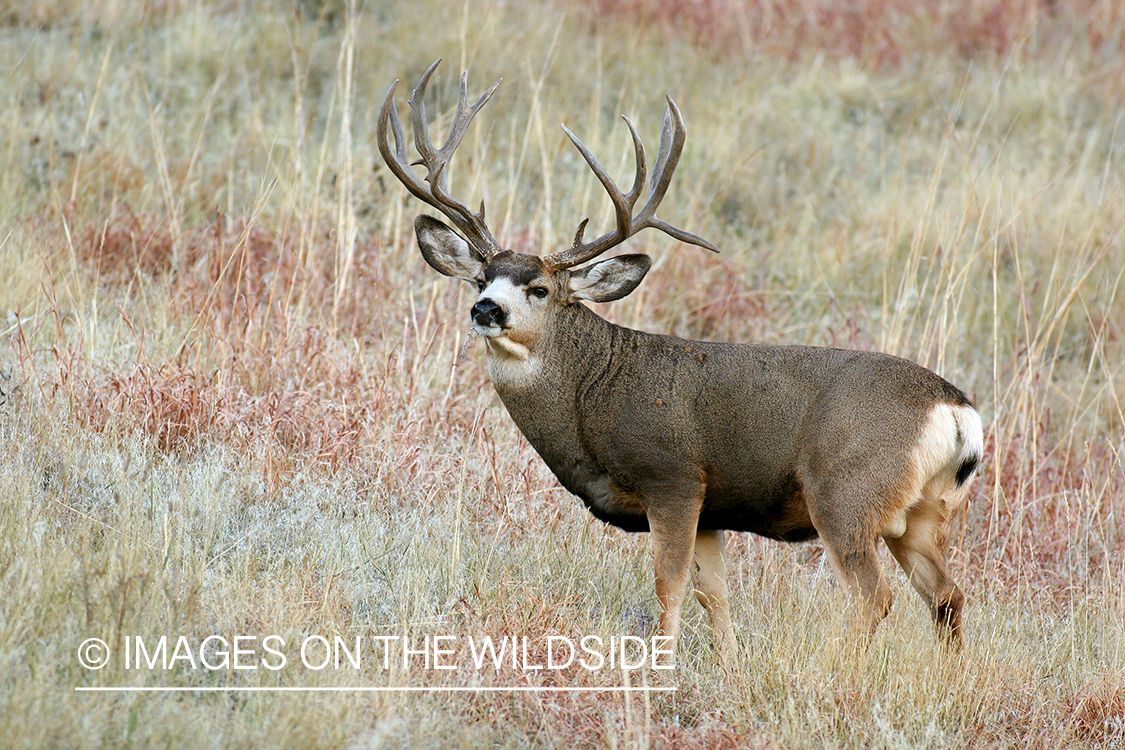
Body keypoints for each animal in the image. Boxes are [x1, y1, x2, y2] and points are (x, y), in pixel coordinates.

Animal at [373, 61, 981, 665]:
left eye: (540, 289)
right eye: (481, 277)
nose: (486, 308)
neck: (591, 395)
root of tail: (956, 410)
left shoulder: (673, 477)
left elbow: (669, 586)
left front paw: (657, 668)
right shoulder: (711, 509)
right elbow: (716, 596)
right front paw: (729, 666)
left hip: (845, 492)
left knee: (875, 596)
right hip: (919, 512)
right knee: (947, 595)